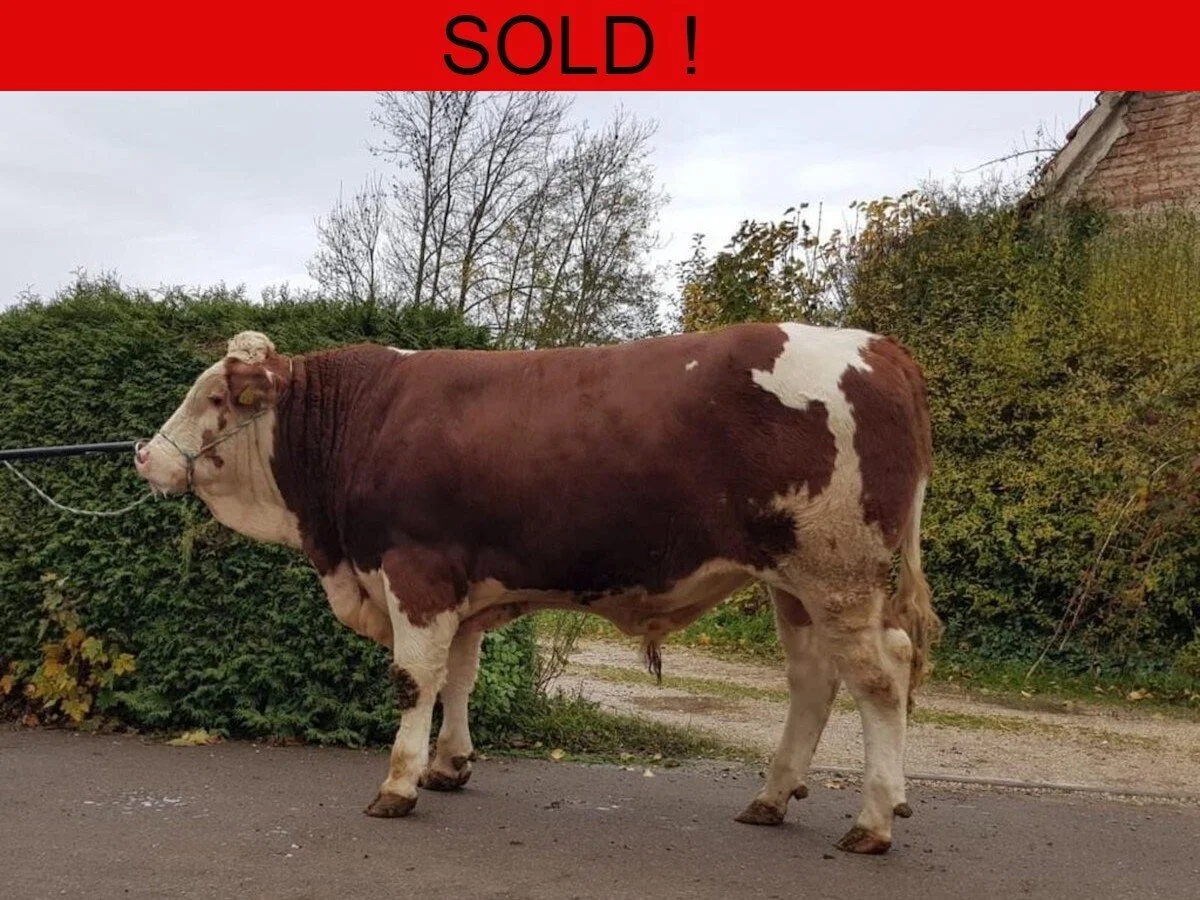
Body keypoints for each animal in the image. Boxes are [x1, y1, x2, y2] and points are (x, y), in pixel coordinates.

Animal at [134, 321, 939, 855]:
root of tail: (877, 347)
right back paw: (772, 798)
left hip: (837, 572)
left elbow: (413, 679)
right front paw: (449, 766)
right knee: (813, 681)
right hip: (794, 581)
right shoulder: (461, 588)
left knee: (881, 674)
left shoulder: (415, 570)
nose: (143, 455)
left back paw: (872, 820)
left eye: (217, 397)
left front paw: (398, 785)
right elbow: (459, 675)